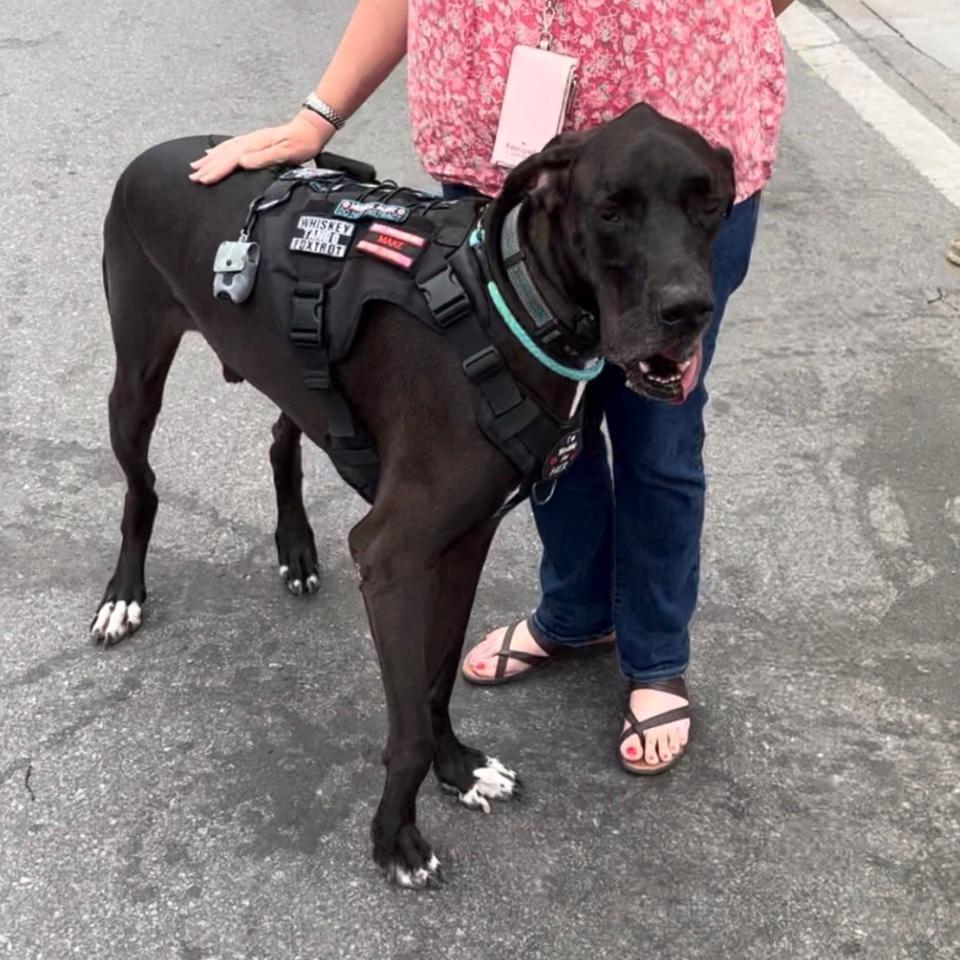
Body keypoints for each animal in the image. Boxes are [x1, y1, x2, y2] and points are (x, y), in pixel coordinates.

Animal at [92, 103, 736, 884]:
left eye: (711, 205)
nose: (688, 311)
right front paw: (395, 836)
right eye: (611, 209)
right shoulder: (394, 558)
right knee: (142, 488)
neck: (512, 303)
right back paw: (123, 595)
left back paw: (295, 547)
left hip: (293, 371)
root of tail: (157, 153)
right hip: (135, 376)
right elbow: (408, 727)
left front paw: (460, 771)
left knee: (280, 438)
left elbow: (435, 681)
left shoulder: (464, 542)